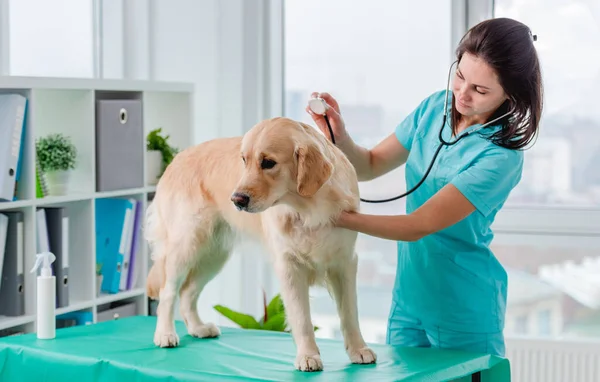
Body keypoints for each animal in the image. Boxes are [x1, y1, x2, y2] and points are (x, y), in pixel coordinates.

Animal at [144, 115, 376, 370]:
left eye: (268, 163)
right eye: (244, 161)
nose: (236, 200)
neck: (309, 209)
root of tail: (176, 159)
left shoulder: (345, 261)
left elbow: (350, 312)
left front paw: (359, 349)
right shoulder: (289, 265)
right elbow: (302, 317)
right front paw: (308, 355)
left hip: (214, 255)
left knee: (187, 292)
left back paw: (198, 327)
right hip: (186, 245)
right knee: (168, 292)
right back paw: (165, 334)